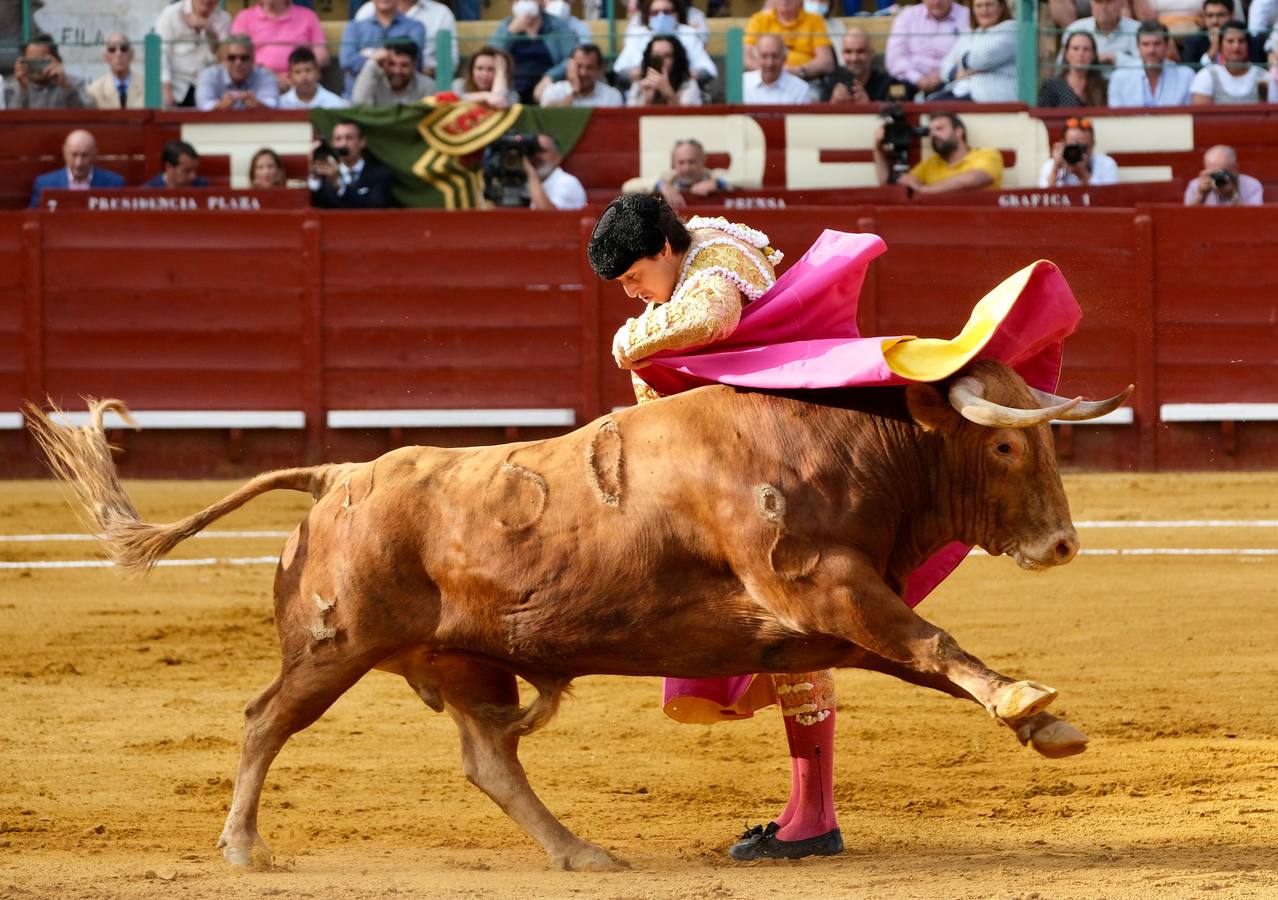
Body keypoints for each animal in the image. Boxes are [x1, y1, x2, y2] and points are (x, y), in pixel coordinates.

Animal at [27, 360, 1129, 869]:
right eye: (1005, 446)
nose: (1063, 545)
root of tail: (337, 473)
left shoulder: (822, 613)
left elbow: (916, 655)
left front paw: (1045, 722)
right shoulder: (820, 584)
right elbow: (931, 640)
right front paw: (1032, 705)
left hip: (460, 659)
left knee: (490, 759)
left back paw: (577, 852)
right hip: (333, 648)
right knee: (265, 722)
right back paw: (243, 847)